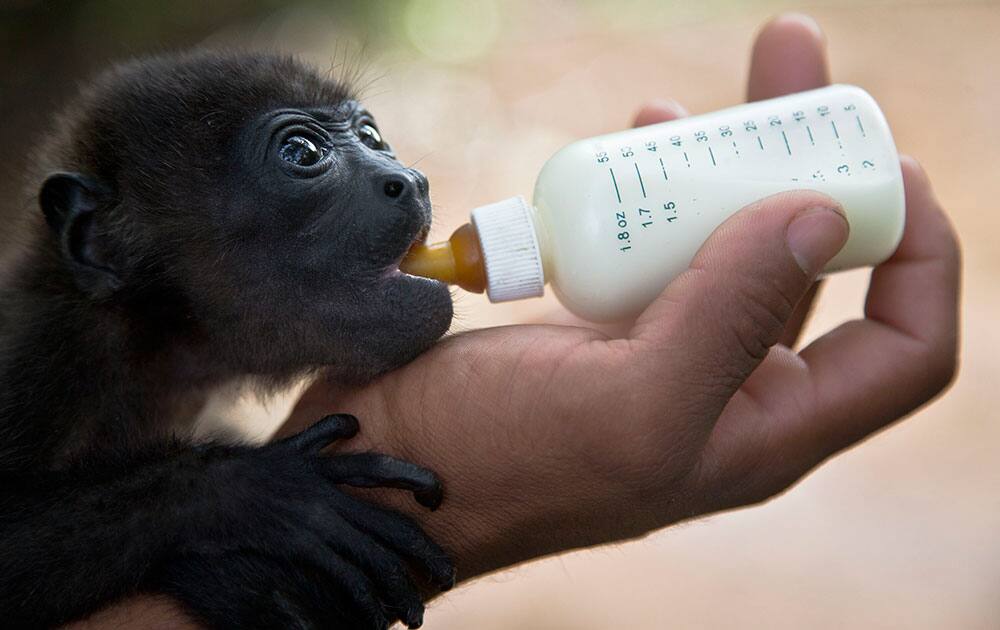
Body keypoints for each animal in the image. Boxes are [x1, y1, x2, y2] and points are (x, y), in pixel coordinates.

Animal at [0, 50, 458, 630]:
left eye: (371, 136)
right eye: (302, 152)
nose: (411, 180)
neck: (155, 335)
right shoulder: (43, 361)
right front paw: (254, 495)